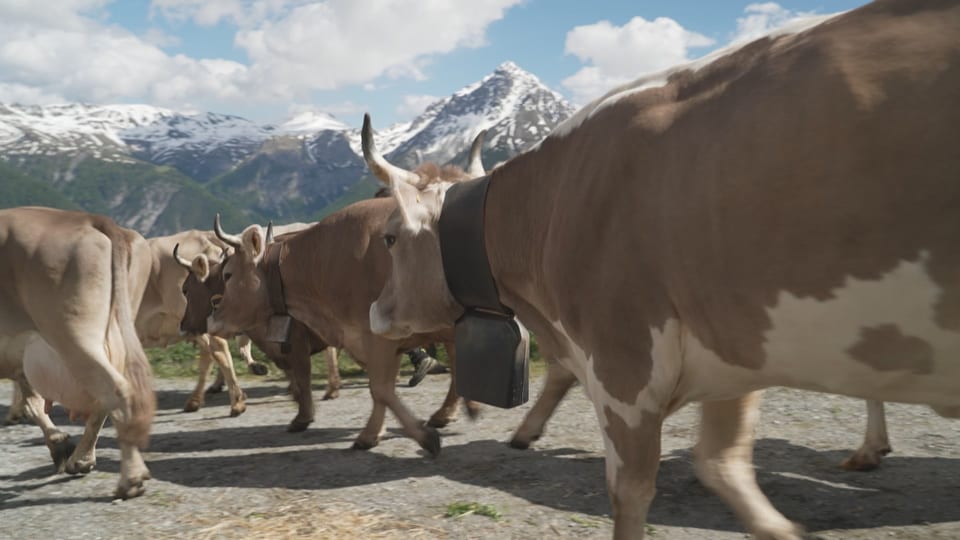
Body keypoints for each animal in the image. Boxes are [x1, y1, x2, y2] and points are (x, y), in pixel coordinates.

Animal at [0, 206, 156, 498]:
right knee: (105, 397)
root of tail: (88, 218)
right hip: (117, 325)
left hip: (72, 332)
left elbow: (31, 402)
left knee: (116, 389)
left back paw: (130, 479)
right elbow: (32, 402)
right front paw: (59, 445)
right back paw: (82, 460)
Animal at [366, 2, 960, 536]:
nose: (374, 310)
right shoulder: (734, 354)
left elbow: (629, 493)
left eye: (390, 236)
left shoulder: (624, 368)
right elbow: (725, 468)